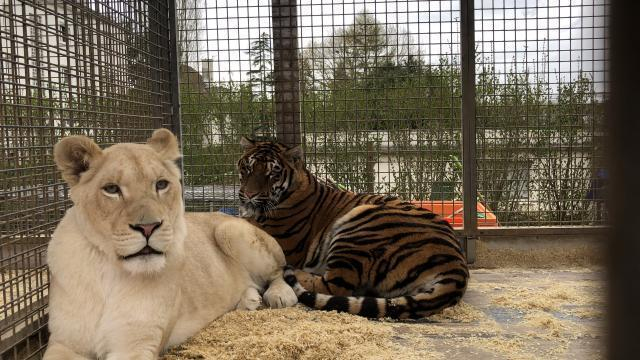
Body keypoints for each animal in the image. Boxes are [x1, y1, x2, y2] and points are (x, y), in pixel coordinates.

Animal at [43, 130, 298, 360]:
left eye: (161, 184)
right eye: (112, 189)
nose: (148, 227)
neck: (110, 274)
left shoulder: (136, 345)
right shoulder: (64, 343)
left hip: (230, 230)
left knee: (279, 271)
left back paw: (280, 295)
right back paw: (249, 299)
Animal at [238, 136, 468, 320]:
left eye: (272, 174)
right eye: (247, 169)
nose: (249, 195)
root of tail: (457, 265)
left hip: (359, 226)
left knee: (333, 285)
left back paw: (292, 271)